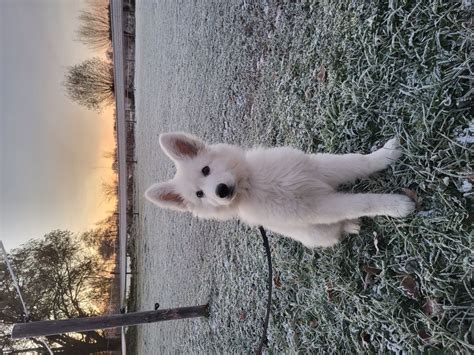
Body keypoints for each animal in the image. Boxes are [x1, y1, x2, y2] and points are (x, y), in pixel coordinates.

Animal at [145, 133, 414, 248]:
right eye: (199, 195)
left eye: (205, 169)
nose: (220, 191)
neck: (252, 185)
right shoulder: (316, 207)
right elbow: (361, 203)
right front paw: (398, 206)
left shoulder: (317, 169)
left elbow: (357, 162)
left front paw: (386, 155)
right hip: (317, 234)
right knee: (336, 230)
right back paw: (349, 226)